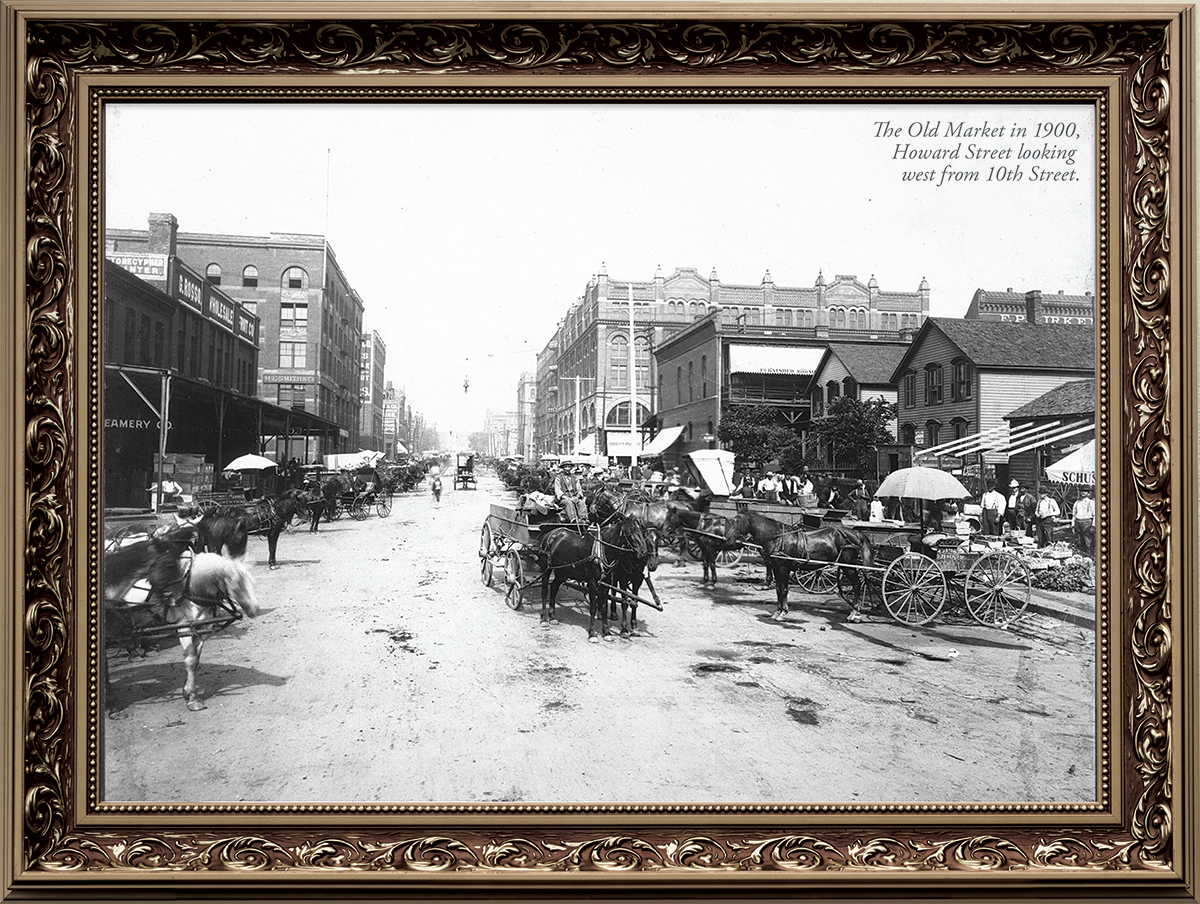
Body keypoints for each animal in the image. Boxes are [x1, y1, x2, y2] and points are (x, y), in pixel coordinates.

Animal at [540, 513, 657, 643]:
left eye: (641, 532)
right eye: (630, 532)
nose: (643, 552)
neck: (601, 551)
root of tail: (551, 534)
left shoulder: (606, 583)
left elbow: (605, 605)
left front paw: (606, 632)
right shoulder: (592, 582)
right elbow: (592, 607)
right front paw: (592, 634)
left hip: (562, 572)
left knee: (554, 587)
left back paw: (553, 617)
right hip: (546, 569)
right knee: (545, 590)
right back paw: (544, 619)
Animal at [720, 511, 873, 619]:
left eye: (736, 521)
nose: (726, 539)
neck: (778, 538)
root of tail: (855, 533)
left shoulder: (783, 568)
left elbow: (784, 590)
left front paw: (783, 612)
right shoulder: (776, 568)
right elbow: (778, 589)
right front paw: (778, 611)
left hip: (848, 565)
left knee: (857, 585)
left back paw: (855, 612)